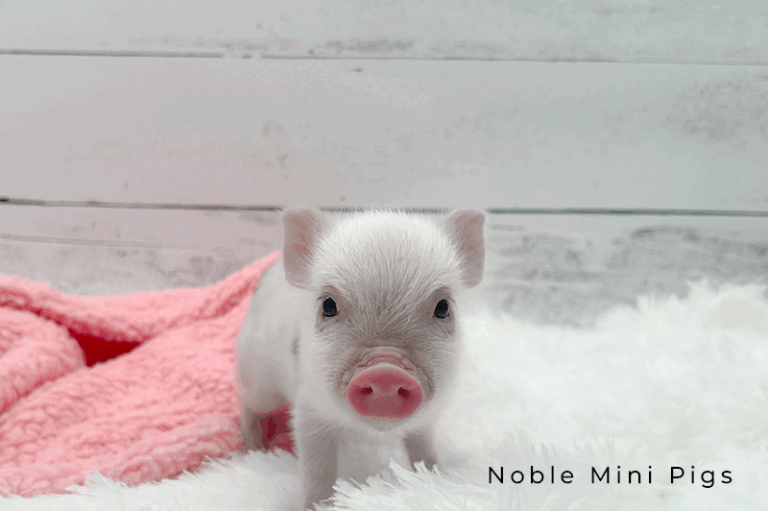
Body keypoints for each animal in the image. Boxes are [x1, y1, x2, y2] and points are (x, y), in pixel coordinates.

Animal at [236, 207, 485, 510]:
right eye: (328, 305)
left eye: (443, 307)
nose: (386, 371)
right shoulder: (309, 408)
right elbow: (317, 466)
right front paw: (318, 504)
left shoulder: (426, 419)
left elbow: (423, 449)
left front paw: (435, 480)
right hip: (258, 378)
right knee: (248, 405)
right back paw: (254, 449)